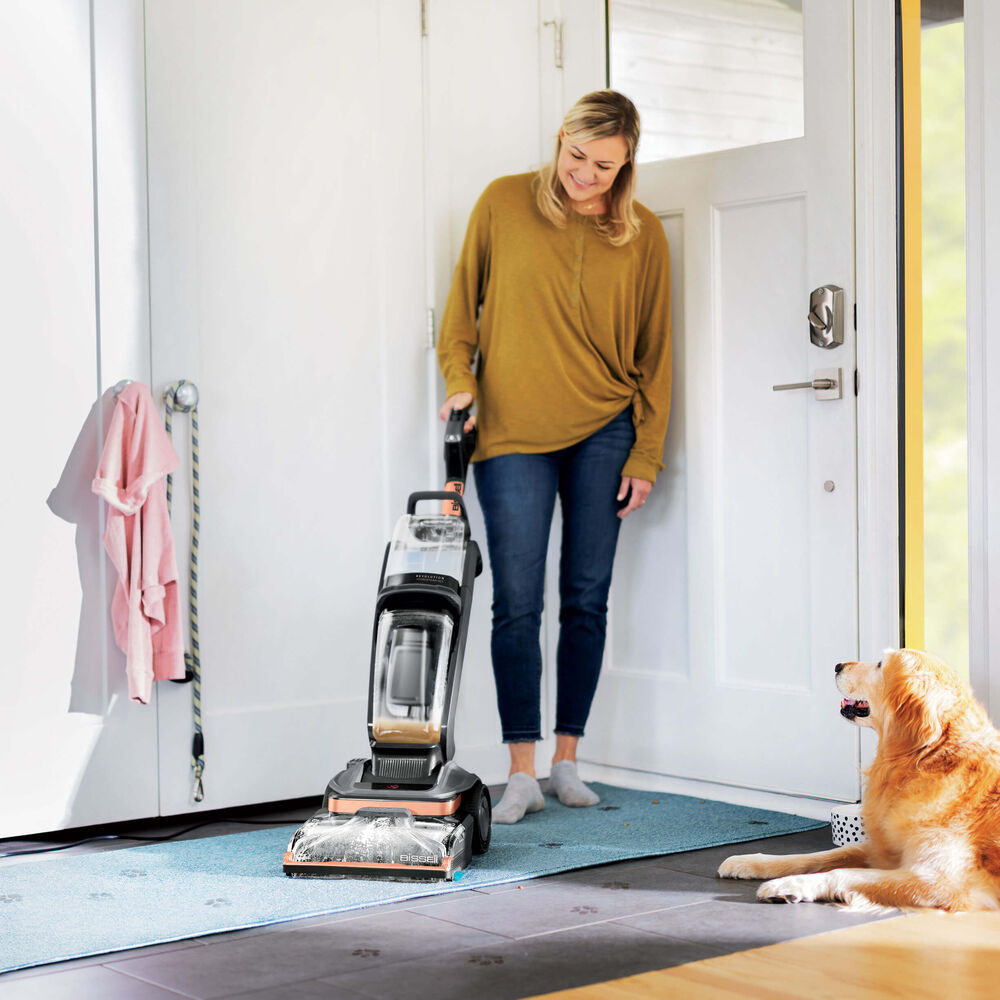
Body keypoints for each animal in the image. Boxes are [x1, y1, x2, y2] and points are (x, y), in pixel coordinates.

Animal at [720, 648, 1000, 916]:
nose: (837, 665)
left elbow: (841, 873)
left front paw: (788, 885)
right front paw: (751, 861)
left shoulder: (937, 880)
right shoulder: (883, 847)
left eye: (880, 664)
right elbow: (821, 855)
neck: (927, 760)